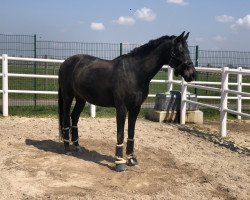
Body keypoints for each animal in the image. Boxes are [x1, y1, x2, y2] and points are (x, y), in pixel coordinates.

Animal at [58, 31, 195, 172]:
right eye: (180, 51)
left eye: (188, 50)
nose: (192, 74)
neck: (135, 72)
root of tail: (65, 63)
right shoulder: (121, 108)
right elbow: (120, 134)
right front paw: (120, 163)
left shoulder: (136, 108)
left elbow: (131, 132)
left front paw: (131, 158)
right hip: (68, 97)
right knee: (66, 118)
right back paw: (67, 148)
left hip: (81, 98)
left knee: (74, 116)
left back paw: (77, 146)